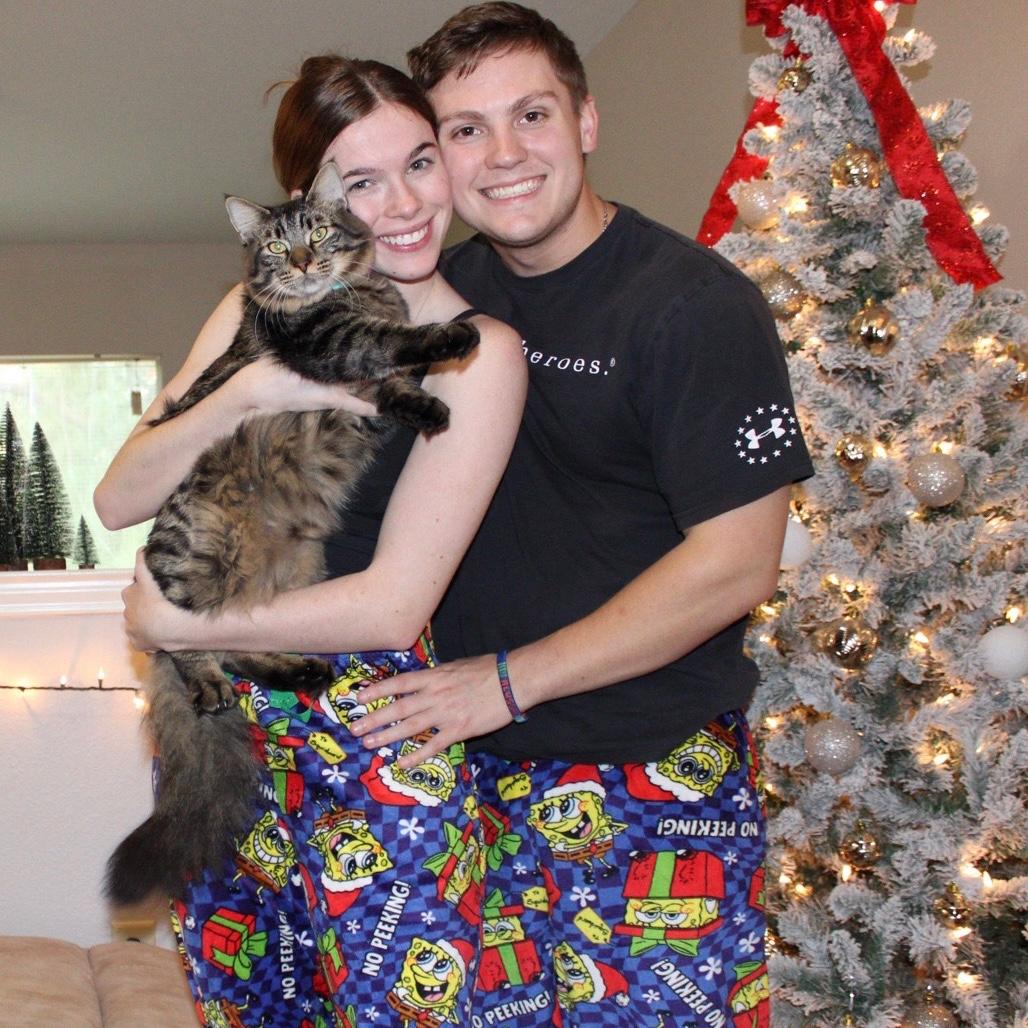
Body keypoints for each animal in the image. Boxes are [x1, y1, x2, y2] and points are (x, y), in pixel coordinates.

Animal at [105, 161, 478, 905]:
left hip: (302, 563)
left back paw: (300, 668)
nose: (304, 261)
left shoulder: (365, 382)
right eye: (278, 247)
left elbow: (398, 382)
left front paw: (429, 402)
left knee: (244, 640)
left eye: (319, 232)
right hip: (197, 557)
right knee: (191, 645)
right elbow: (395, 344)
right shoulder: (331, 347)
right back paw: (211, 687)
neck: (356, 289)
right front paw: (453, 337)